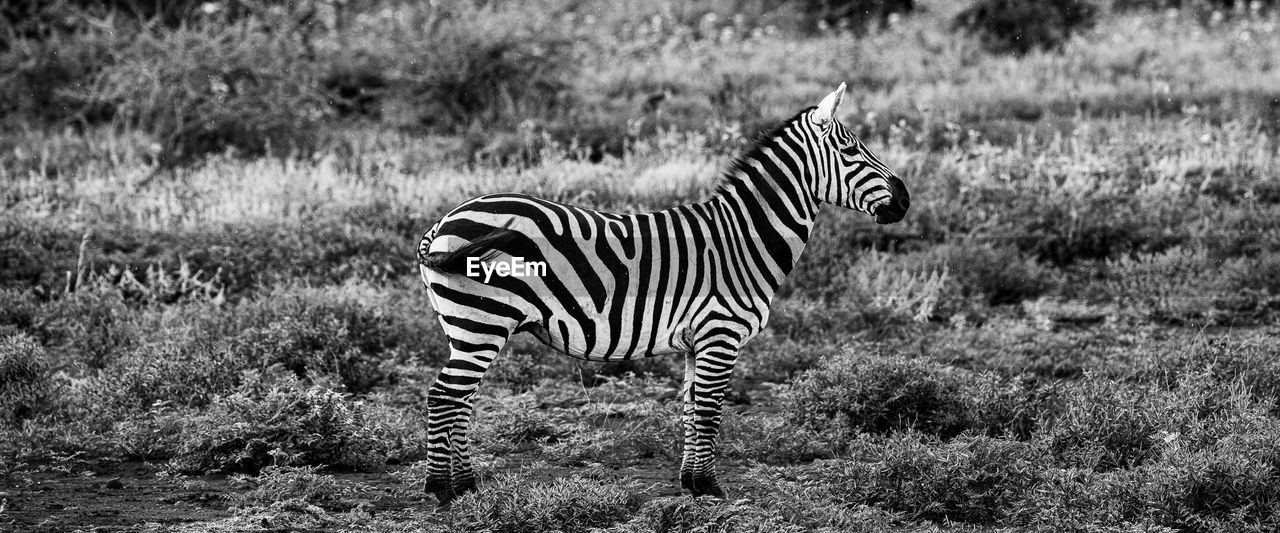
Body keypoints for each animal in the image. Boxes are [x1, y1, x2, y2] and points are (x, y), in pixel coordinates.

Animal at [414, 83, 906, 504]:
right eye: (850, 150)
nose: (904, 200)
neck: (743, 238)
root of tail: (441, 223)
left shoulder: (697, 341)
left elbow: (691, 407)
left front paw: (691, 481)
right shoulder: (721, 333)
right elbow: (710, 409)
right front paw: (709, 487)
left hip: (465, 327)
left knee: (459, 399)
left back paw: (465, 484)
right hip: (482, 322)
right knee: (445, 396)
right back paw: (445, 489)